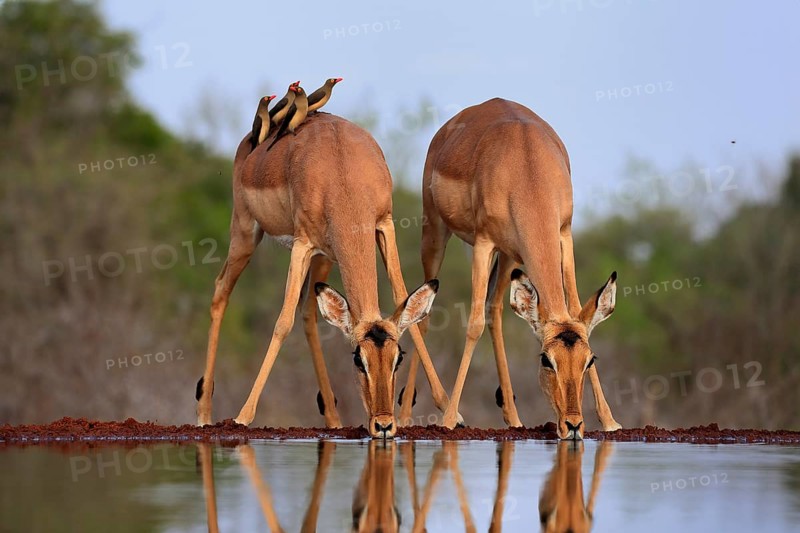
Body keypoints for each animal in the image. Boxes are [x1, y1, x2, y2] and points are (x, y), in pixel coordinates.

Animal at [195, 112, 456, 438]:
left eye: (398, 357)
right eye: (358, 359)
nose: (384, 425)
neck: (341, 172)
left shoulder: (383, 226)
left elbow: (403, 298)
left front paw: (451, 412)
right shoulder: (302, 244)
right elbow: (282, 322)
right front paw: (243, 417)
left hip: (323, 258)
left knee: (309, 315)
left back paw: (333, 418)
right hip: (245, 233)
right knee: (221, 292)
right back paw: (204, 414)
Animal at [399, 98, 621, 439]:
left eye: (589, 359)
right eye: (546, 360)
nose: (572, 425)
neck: (526, 166)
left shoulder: (563, 235)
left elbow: (573, 307)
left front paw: (610, 421)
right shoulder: (483, 243)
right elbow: (473, 324)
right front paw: (449, 420)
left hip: (509, 257)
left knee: (495, 310)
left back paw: (514, 418)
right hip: (435, 233)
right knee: (424, 316)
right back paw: (409, 416)